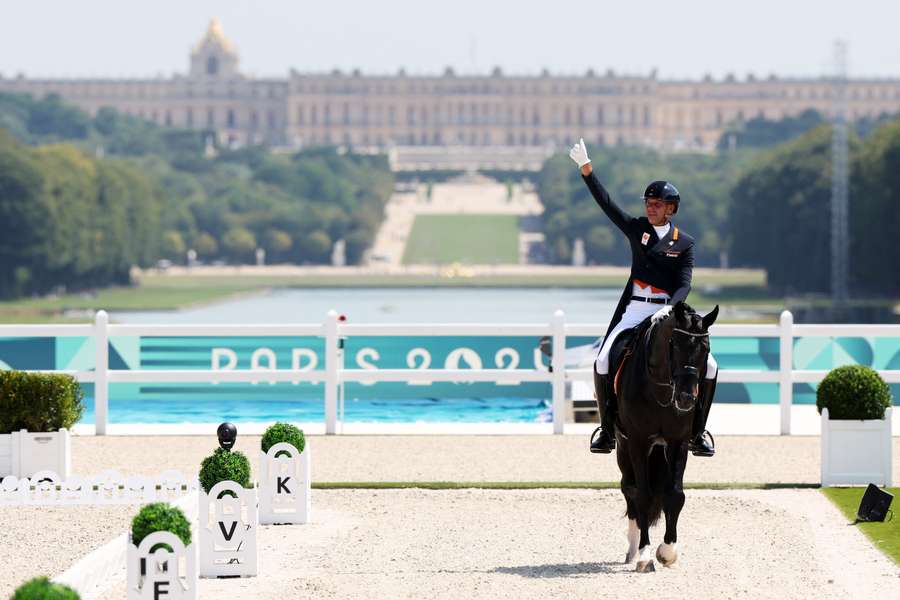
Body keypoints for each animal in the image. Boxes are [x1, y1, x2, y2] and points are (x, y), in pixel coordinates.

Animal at [608, 300, 720, 572]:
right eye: (675, 345)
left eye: (705, 348)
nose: (686, 399)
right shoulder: (638, 442)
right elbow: (644, 496)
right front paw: (645, 555)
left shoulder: (677, 442)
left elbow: (676, 495)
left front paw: (668, 551)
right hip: (623, 447)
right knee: (629, 488)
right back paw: (632, 548)